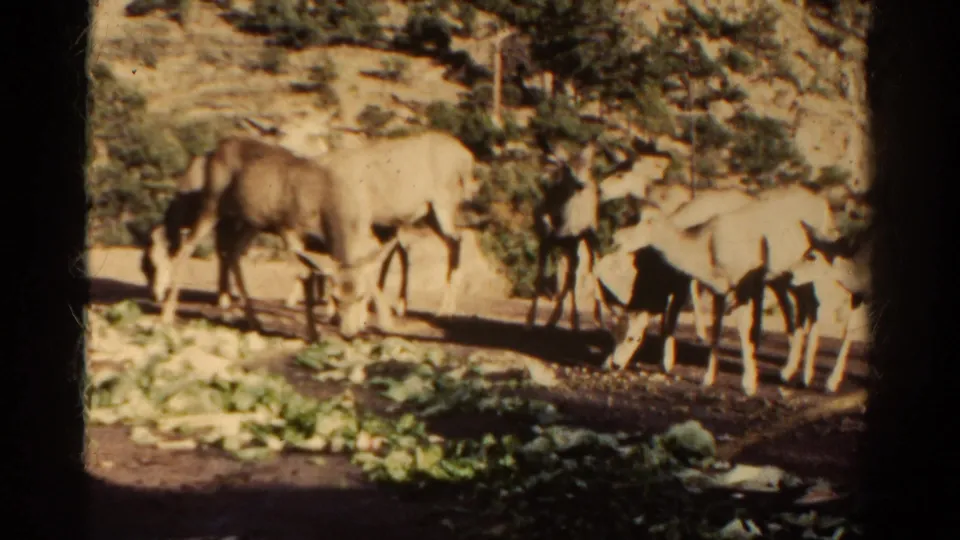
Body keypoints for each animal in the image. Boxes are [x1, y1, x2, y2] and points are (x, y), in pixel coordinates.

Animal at [611, 183, 843, 396]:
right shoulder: (719, 291)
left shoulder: (740, 288)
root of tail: (825, 205)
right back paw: (792, 370)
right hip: (786, 279)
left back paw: (806, 376)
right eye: (617, 331)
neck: (705, 247)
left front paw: (749, 384)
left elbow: (742, 331)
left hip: (810, 274)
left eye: (633, 337)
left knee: (814, 308)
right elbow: (716, 331)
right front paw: (708, 378)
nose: (614, 364)